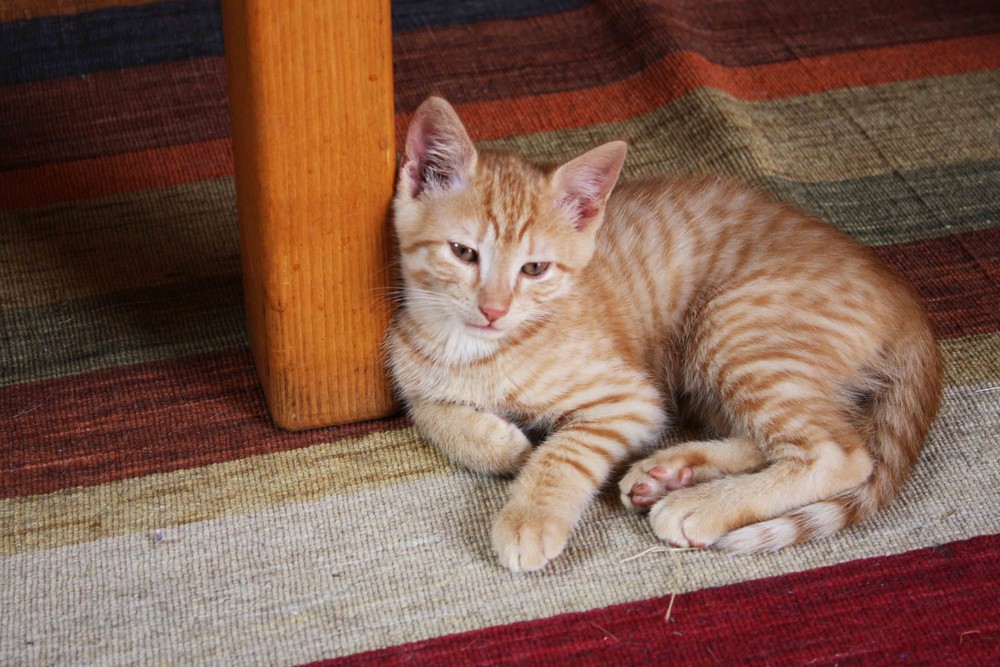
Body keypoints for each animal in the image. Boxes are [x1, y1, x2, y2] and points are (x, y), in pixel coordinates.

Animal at [386, 96, 940, 572]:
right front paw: (499, 444)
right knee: (797, 435)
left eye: (535, 268)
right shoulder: (410, 366)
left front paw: (531, 514)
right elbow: (428, 410)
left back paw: (700, 504)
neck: (472, 348)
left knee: (840, 451)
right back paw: (671, 472)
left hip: (731, 327)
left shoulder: (631, 398)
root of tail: (902, 293)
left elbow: (564, 452)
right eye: (463, 253)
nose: (494, 309)